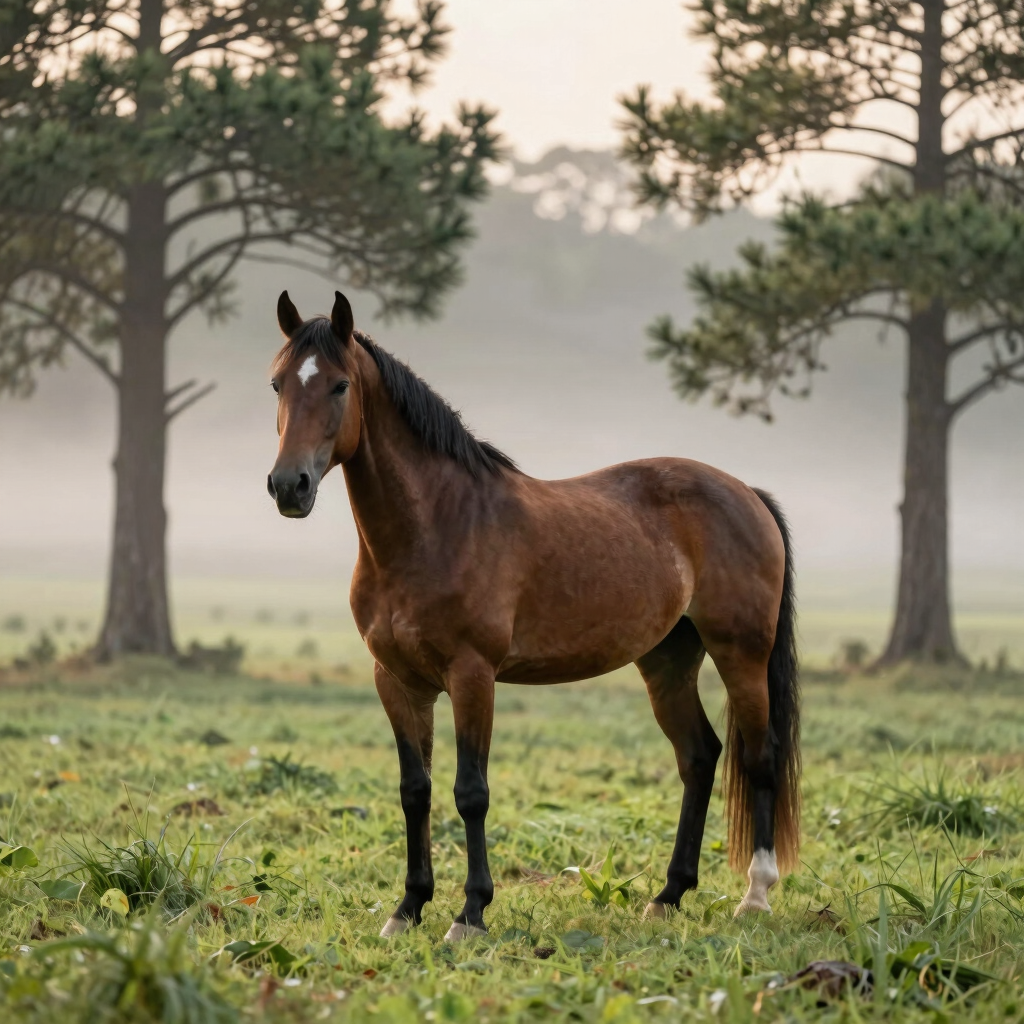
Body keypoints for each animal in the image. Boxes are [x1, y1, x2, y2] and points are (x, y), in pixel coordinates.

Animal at [267, 290, 800, 941]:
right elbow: (415, 790)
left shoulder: (473, 676)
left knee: (760, 756)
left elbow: (470, 792)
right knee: (699, 758)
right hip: (668, 661)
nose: (288, 486)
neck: (437, 525)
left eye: (340, 385)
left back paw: (756, 895)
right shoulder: (396, 681)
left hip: (740, 653)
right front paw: (409, 908)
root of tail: (747, 493)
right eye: (277, 384)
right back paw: (668, 895)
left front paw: (470, 913)